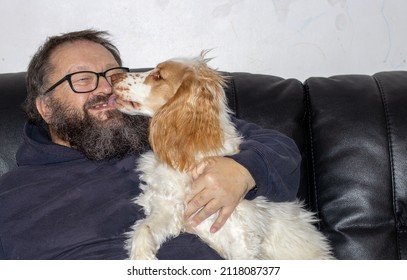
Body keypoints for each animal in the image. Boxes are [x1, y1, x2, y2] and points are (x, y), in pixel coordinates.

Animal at [111, 52, 334, 260]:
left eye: (158, 76)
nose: (113, 77)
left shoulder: (241, 241)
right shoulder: (167, 210)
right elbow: (143, 228)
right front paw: (141, 256)